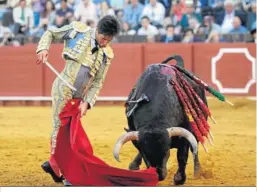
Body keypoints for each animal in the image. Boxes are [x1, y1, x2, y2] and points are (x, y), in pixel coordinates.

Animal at [113, 55, 207, 184]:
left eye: (166, 150)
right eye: (146, 152)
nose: (159, 175)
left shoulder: (186, 131)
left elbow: (182, 155)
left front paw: (179, 179)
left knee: (195, 147)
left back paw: (197, 172)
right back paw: (134, 165)